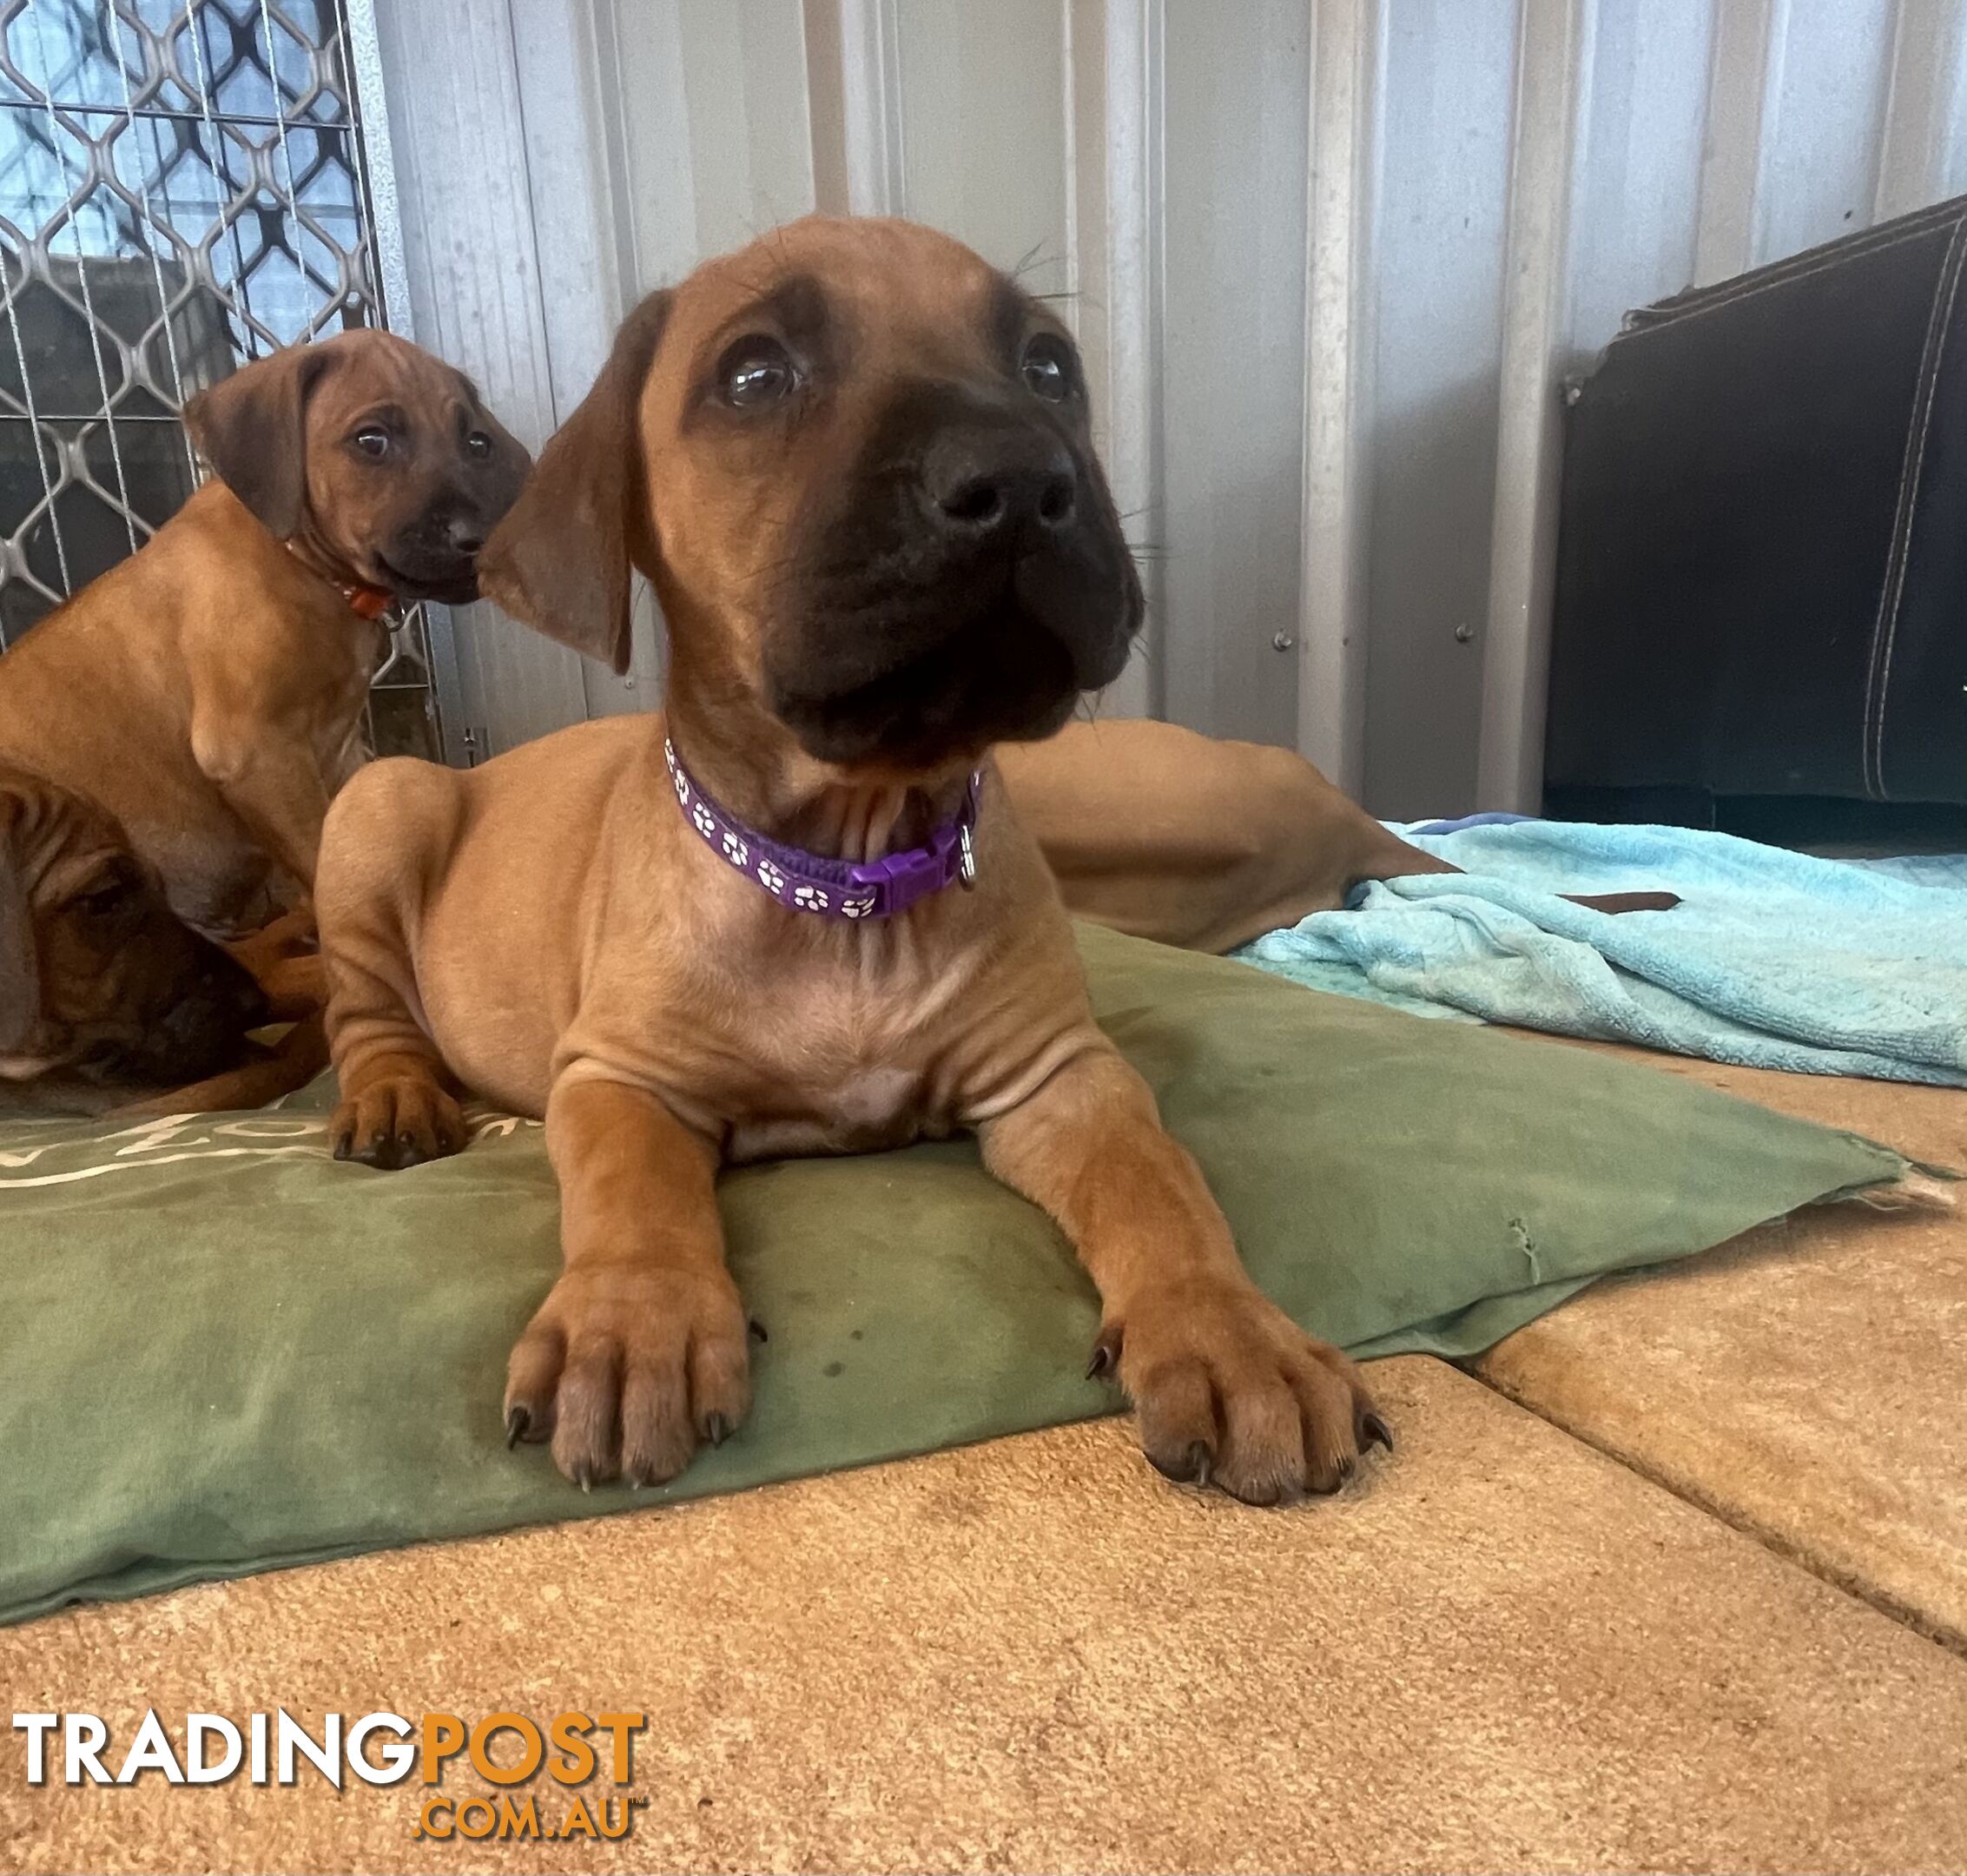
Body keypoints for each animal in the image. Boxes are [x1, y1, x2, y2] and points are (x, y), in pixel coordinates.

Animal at [0, 328, 531, 935]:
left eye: (476, 444)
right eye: (371, 441)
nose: (480, 539)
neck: (300, 564)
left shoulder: (338, 754)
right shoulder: (256, 755)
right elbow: (322, 863)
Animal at [314, 215, 1392, 1509]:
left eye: (1046, 366)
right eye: (753, 376)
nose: (1021, 480)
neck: (848, 877)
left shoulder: (1062, 1076)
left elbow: (1161, 1184)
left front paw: (1231, 1333)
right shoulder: (619, 1075)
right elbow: (632, 1189)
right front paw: (633, 1323)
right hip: (381, 802)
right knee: (365, 1016)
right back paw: (395, 1098)